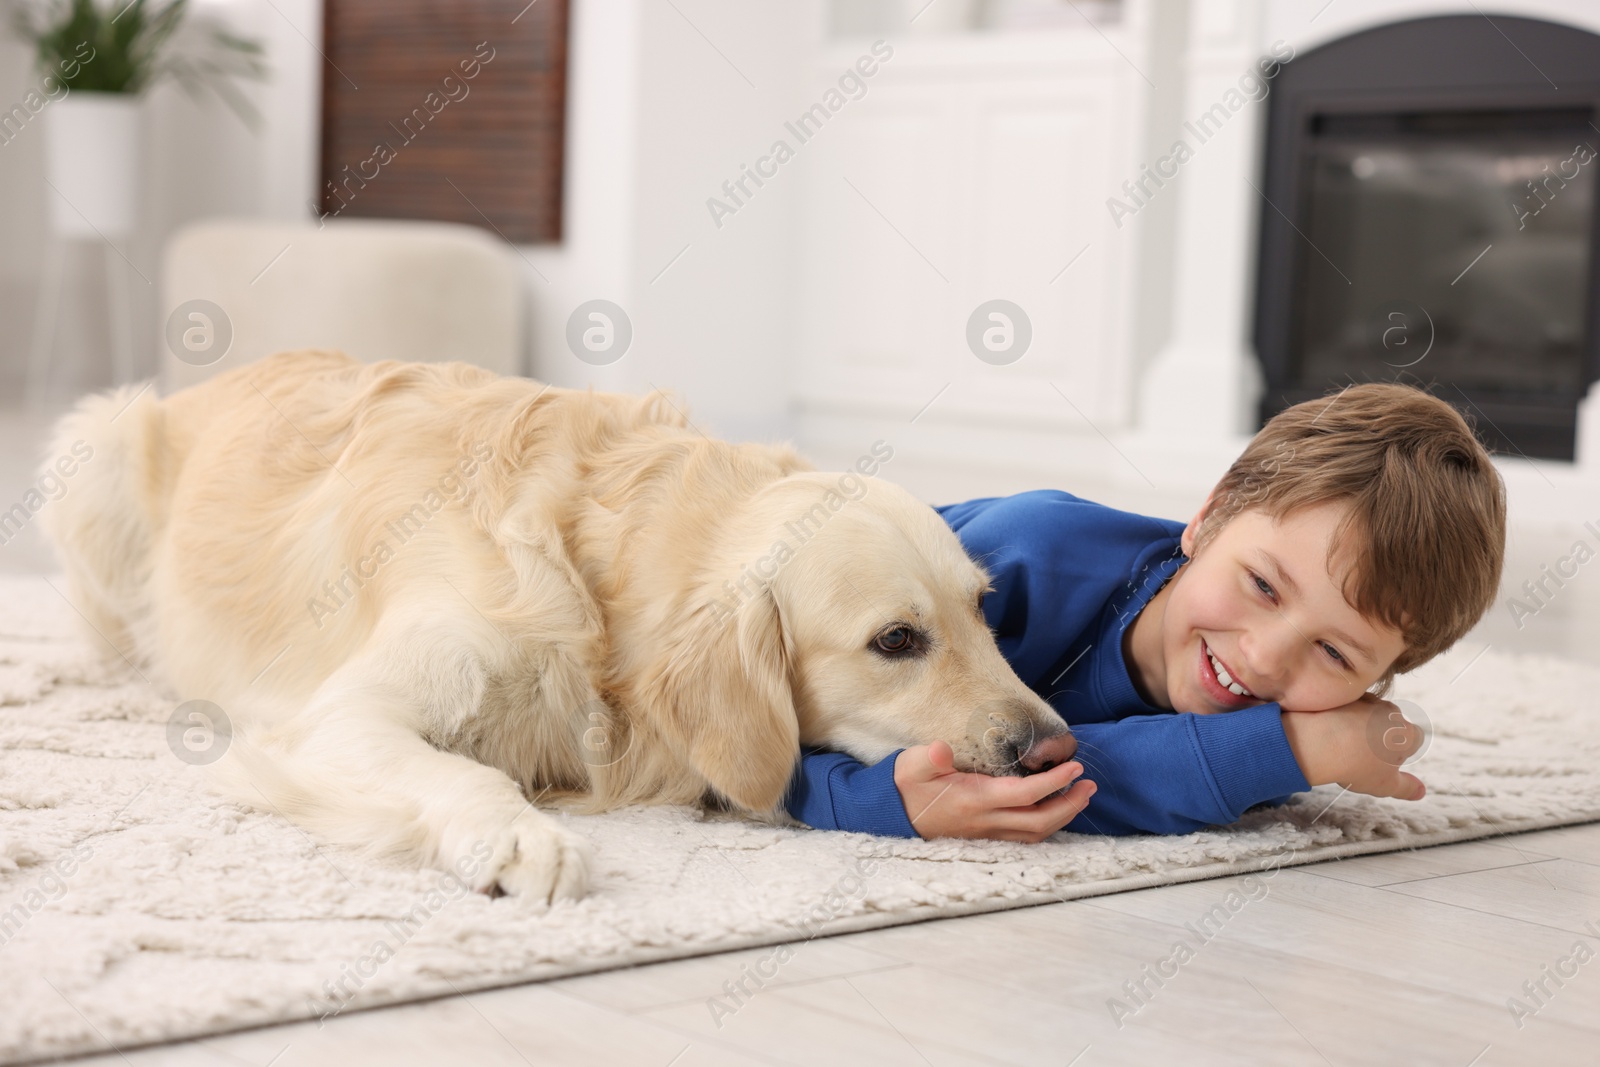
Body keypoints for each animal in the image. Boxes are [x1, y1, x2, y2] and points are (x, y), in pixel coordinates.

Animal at [37, 355, 1075, 908]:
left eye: (982, 610)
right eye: (896, 640)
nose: (1052, 743)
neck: (600, 582)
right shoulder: (336, 717)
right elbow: (464, 769)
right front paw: (520, 836)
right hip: (98, 444)